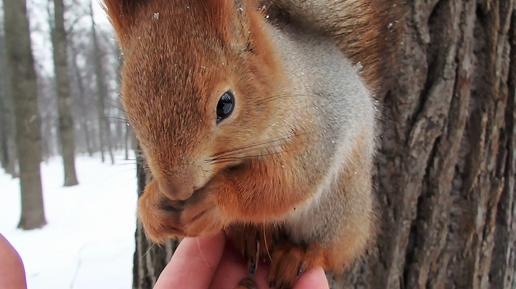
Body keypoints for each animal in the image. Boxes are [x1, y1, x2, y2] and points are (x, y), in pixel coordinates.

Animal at [102, 0, 400, 286]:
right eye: (129, 110)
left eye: (225, 104)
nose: (178, 190)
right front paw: (152, 206)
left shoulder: (317, 131)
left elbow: (288, 183)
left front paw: (216, 199)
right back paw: (249, 234)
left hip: (338, 209)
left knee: (331, 249)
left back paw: (299, 254)